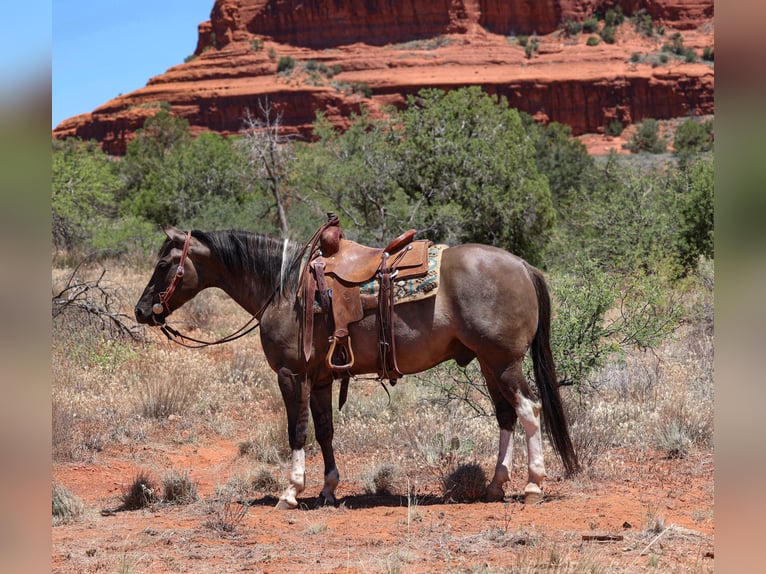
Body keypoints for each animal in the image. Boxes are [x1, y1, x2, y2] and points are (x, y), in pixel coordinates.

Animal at [135, 226, 579, 509]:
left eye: (164, 263)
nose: (141, 311)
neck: (284, 290)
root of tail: (523, 265)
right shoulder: (319, 379)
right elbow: (325, 431)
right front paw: (328, 491)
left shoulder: (291, 375)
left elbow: (296, 431)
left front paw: (291, 492)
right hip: (489, 363)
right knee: (506, 416)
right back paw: (495, 486)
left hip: (504, 362)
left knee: (529, 410)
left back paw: (533, 486)